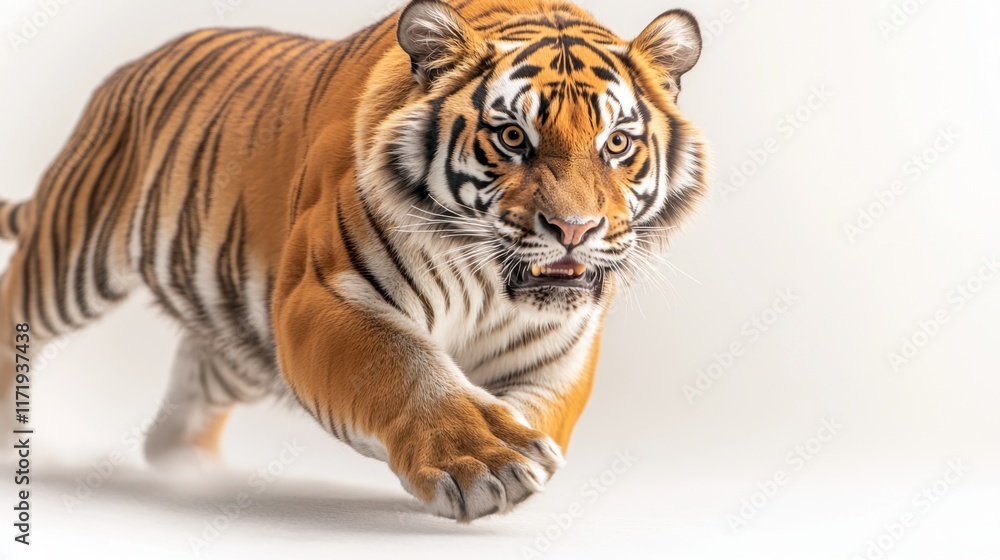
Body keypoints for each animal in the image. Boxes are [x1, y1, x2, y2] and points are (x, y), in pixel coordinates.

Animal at [0, 0, 708, 521]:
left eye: (617, 144)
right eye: (512, 138)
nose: (574, 229)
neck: (487, 284)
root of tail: (133, 65)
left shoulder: (560, 348)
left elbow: (542, 412)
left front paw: (515, 443)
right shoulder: (321, 292)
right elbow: (406, 368)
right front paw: (485, 459)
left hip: (240, 339)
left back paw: (191, 471)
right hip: (70, 257)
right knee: (16, 319)